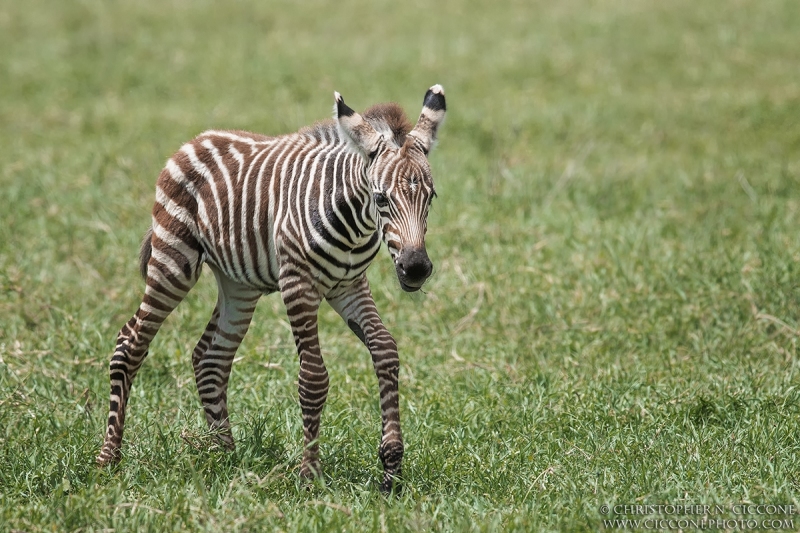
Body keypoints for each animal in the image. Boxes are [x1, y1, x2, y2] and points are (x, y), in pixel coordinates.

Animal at [97, 84, 446, 494]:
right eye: (381, 198)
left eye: (431, 197)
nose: (416, 268)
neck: (352, 219)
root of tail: (195, 140)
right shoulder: (298, 285)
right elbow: (313, 378)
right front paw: (309, 476)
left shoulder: (349, 286)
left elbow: (386, 350)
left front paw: (391, 469)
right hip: (172, 261)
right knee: (130, 343)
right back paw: (109, 458)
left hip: (239, 285)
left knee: (211, 358)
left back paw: (225, 455)